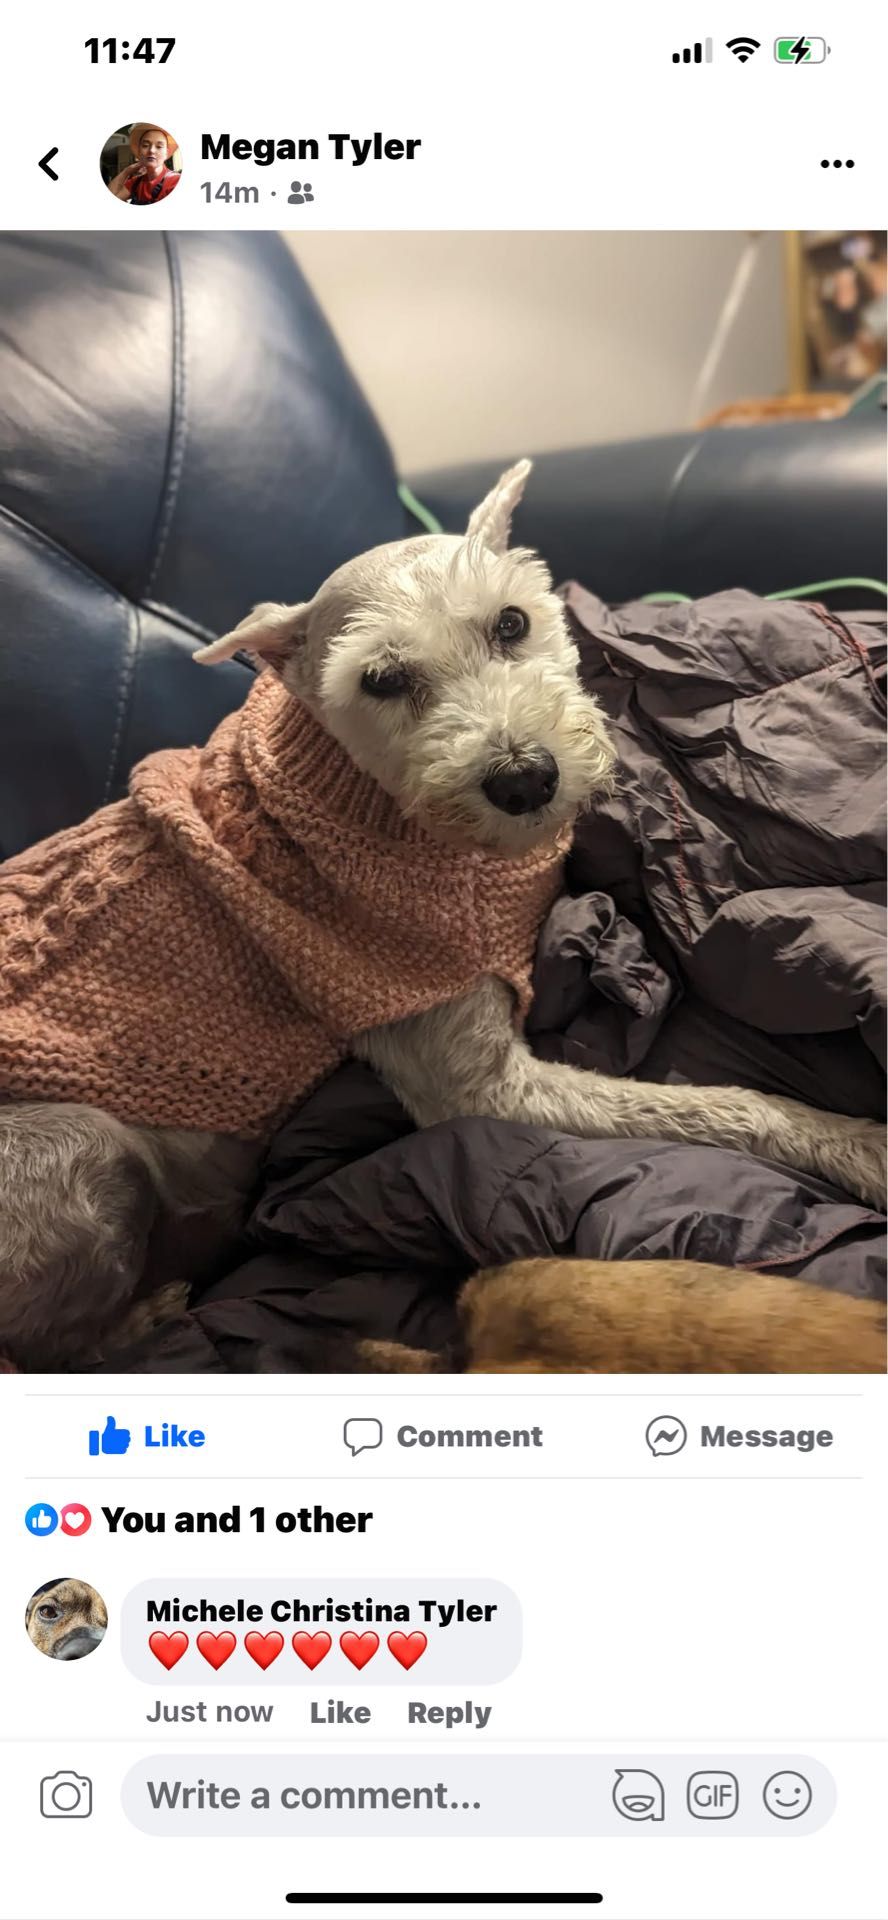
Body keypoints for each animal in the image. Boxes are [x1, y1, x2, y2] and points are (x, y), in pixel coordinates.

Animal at [0, 460, 884, 1369]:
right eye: (381, 679)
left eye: (512, 622)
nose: (526, 779)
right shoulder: (478, 1085)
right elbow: (718, 1108)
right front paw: (857, 1144)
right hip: (83, 1140)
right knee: (59, 1345)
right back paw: (151, 1311)